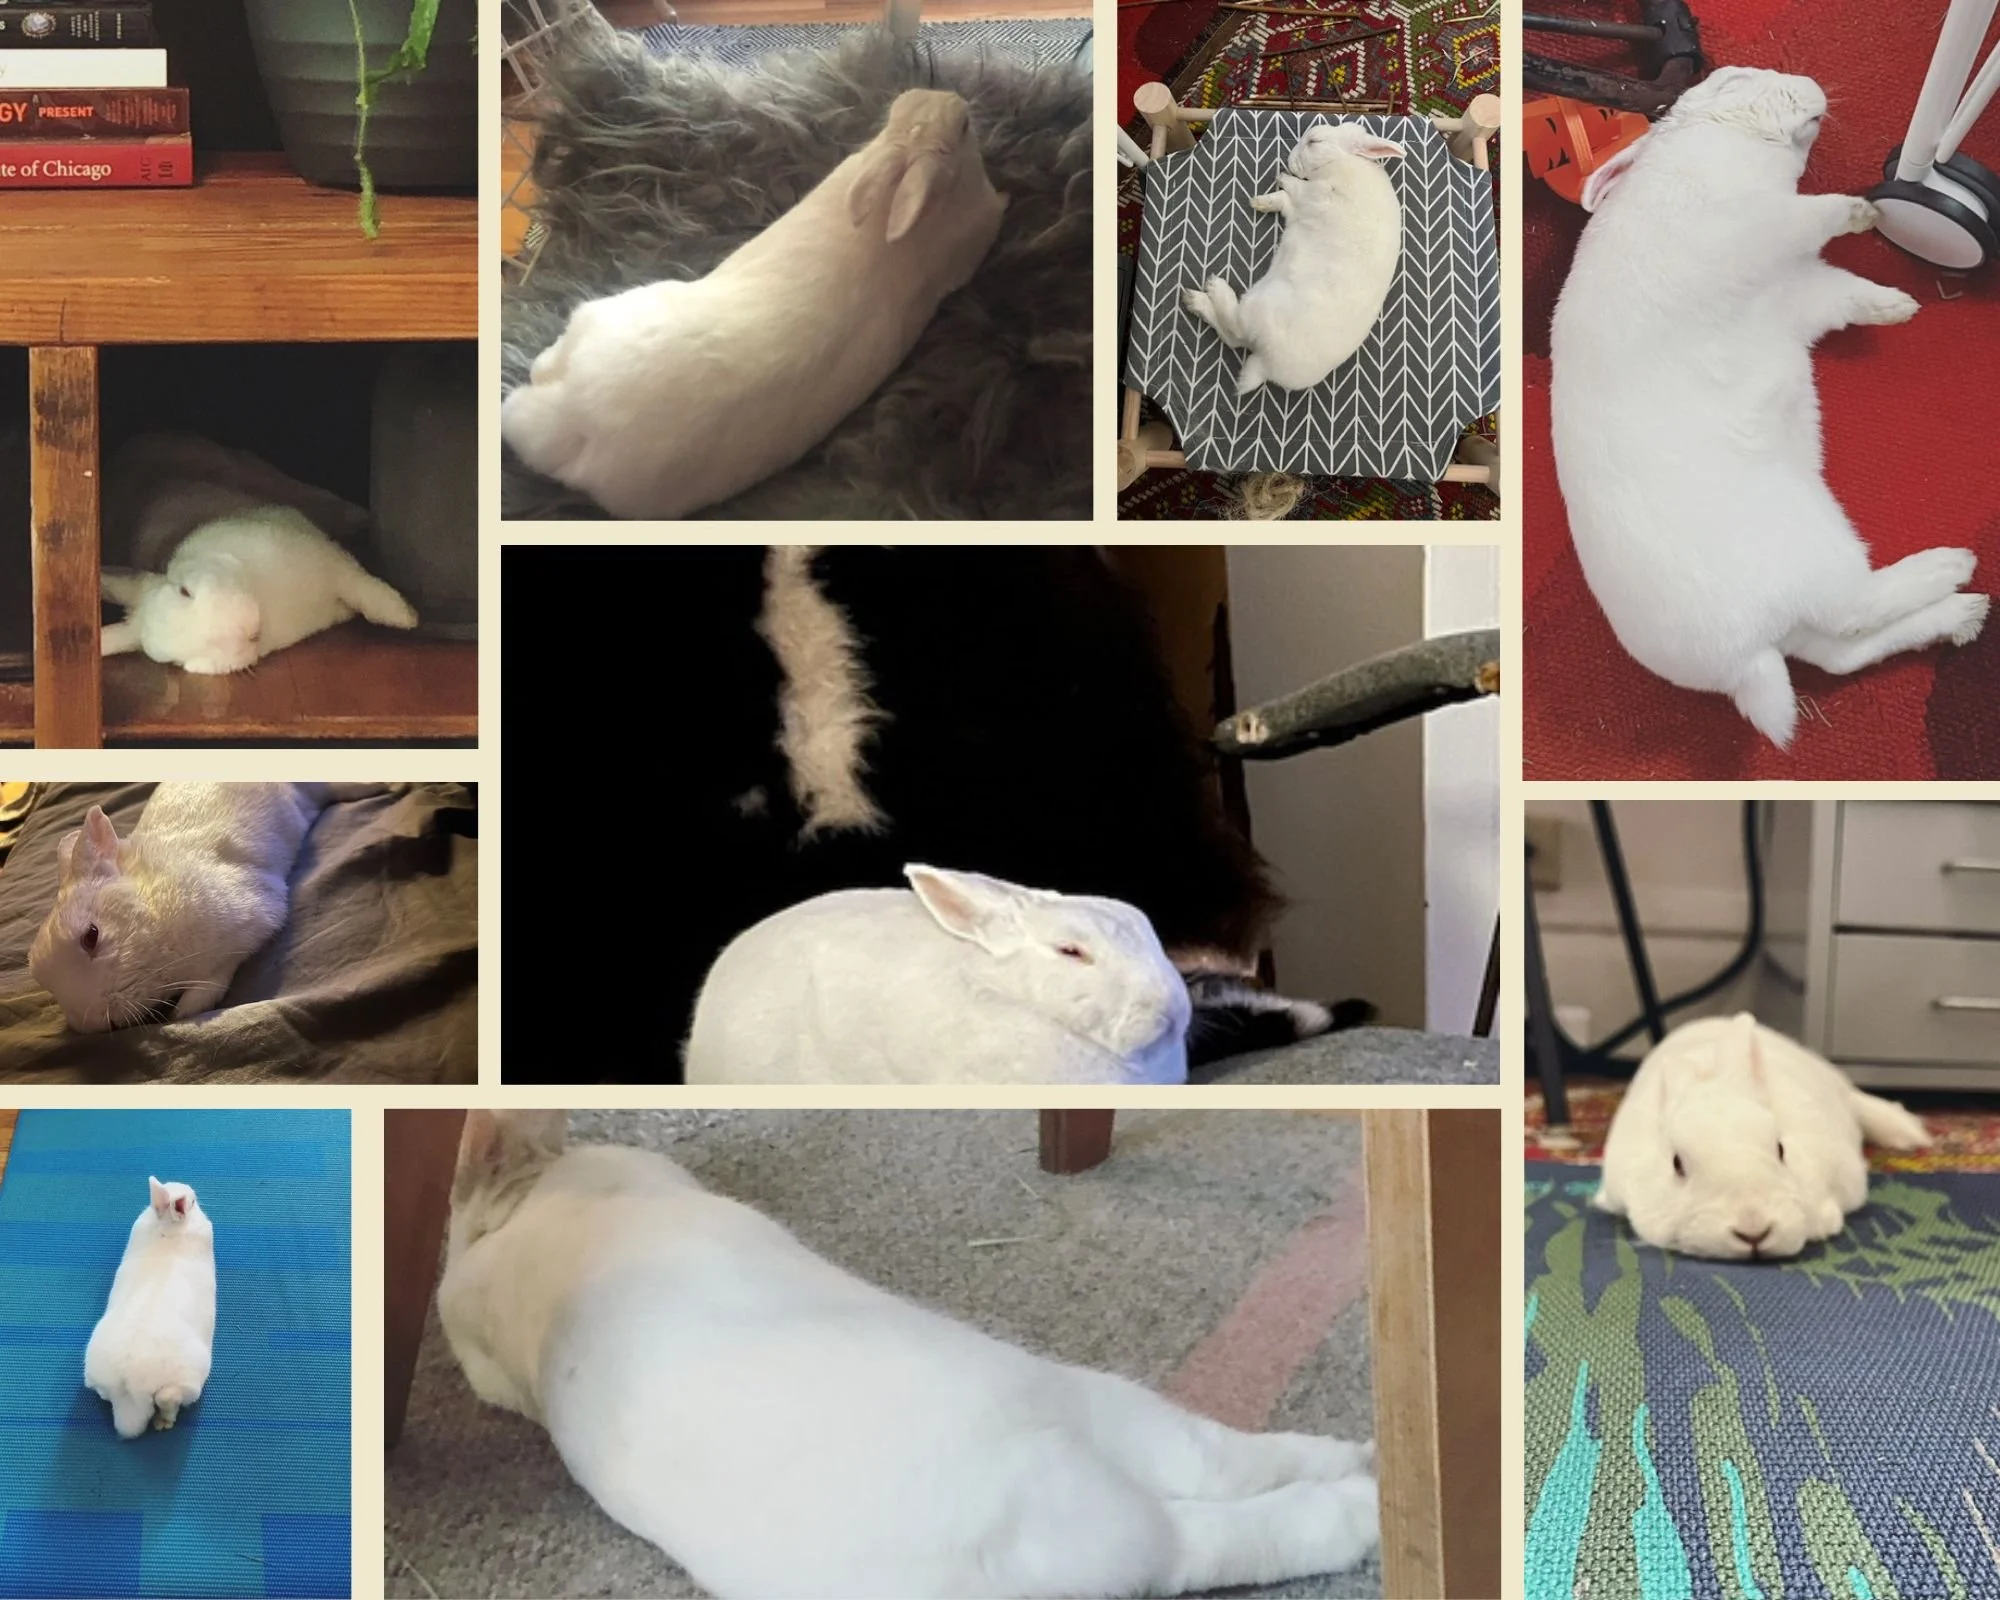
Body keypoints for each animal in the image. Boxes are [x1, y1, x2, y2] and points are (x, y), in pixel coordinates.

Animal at [27, 782, 378, 1033]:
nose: (93, 1023)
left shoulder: (253, 917)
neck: (153, 911)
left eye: (92, 936)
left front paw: (187, 1008)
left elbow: (217, 973)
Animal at [83, 1177, 216, 1440]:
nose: (192, 1190)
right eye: (192, 1201)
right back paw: (164, 1421)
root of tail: (130, 1390)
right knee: (168, 1398)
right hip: (190, 1378)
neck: (167, 1229)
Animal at [100, 504, 418, 676]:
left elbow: (363, 588)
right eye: (181, 662)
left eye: (185, 591)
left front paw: (406, 617)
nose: (247, 633)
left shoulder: (329, 560)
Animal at [1181, 121, 1406, 394]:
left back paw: (1211, 290)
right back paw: (1198, 301)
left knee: (1235, 326)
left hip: (1261, 306)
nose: (1289, 159)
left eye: (1315, 141)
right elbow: (1286, 202)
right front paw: (1263, 202)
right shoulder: (1302, 208)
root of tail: (1266, 366)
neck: (1343, 159)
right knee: (1234, 338)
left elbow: (1295, 191)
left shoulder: (1316, 194)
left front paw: (1281, 179)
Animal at [1550, 66, 1985, 751]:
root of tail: (1741, 663)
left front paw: (1896, 306)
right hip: (1816, 541)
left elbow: (1845, 295)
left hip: (1806, 603)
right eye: (1732, 78)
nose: (1807, 83)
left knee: (1842, 651)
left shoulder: (1798, 290)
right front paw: (1861, 212)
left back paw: (1961, 613)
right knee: (1853, 611)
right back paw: (1952, 569)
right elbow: (1804, 218)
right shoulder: (1751, 232)